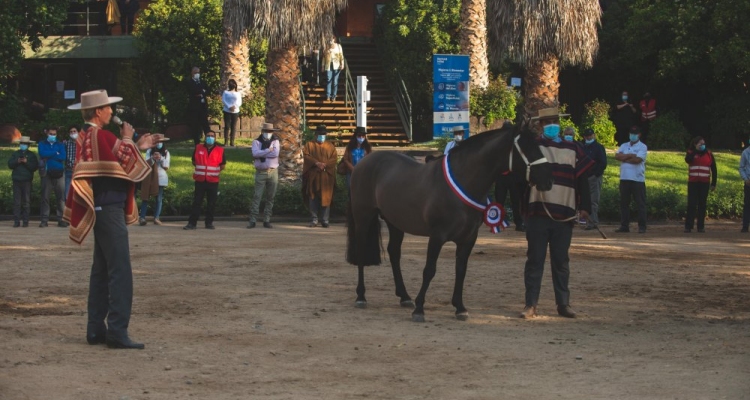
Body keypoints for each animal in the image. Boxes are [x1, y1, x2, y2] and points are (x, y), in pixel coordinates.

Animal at [346, 124, 552, 322]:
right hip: (364, 217)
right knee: (362, 250)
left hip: (395, 222)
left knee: (394, 253)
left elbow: (461, 270)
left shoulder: (469, 238)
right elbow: (429, 270)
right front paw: (419, 309)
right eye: (525, 148)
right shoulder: (437, 236)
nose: (547, 180)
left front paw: (460, 308)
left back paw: (404, 297)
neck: (463, 181)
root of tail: (364, 162)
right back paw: (361, 296)